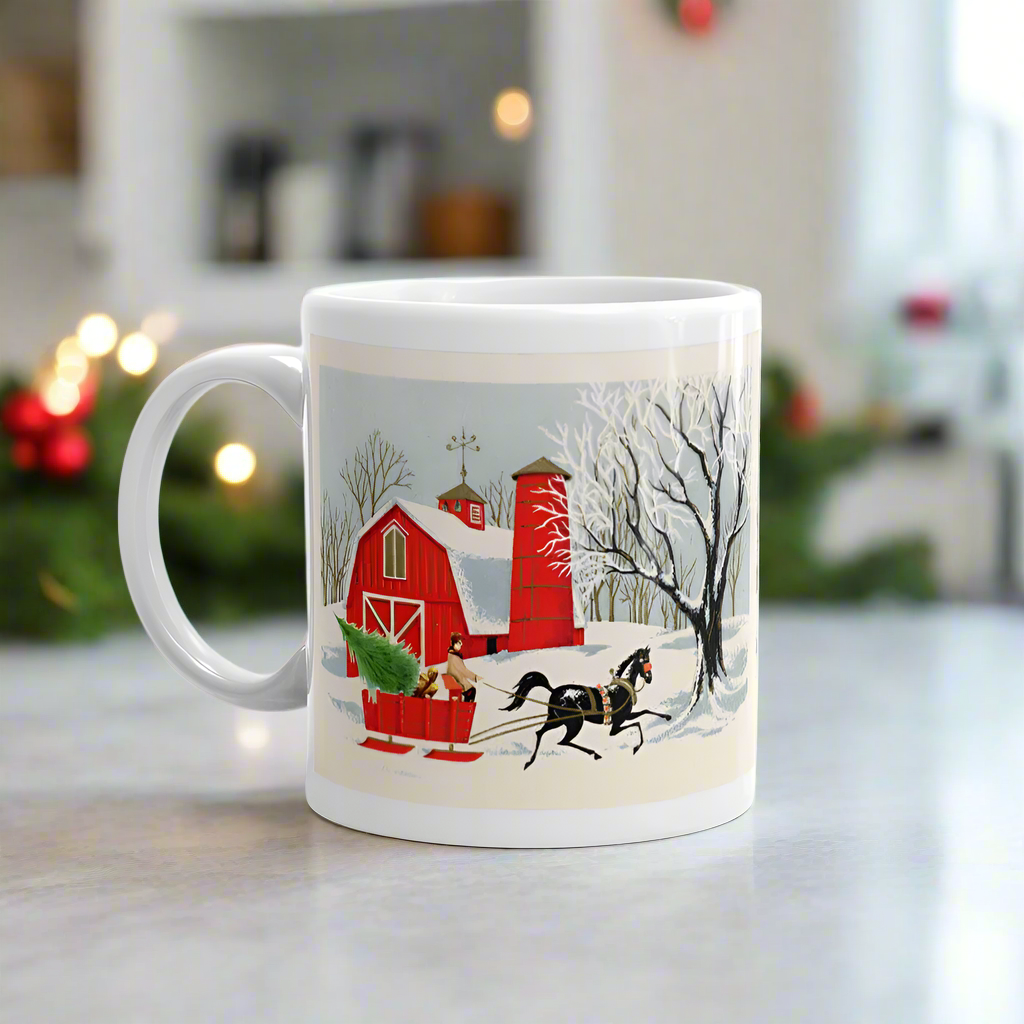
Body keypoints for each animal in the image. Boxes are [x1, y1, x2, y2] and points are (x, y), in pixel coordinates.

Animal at [497, 647, 671, 770]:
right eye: (644, 661)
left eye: (649, 660)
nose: (649, 678)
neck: (620, 689)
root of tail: (554, 691)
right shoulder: (616, 726)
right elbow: (637, 724)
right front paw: (636, 747)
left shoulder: (625, 716)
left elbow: (644, 712)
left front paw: (667, 717)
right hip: (574, 722)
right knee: (562, 741)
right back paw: (595, 754)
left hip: (557, 720)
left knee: (540, 733)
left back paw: (529, 762)